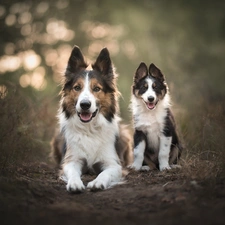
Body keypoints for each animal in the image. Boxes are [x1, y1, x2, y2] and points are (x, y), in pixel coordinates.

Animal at [51, 46, 132, 193]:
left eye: (97, 88)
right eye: (77, 87)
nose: (85, 104)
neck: (90, 129)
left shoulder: (113, 164)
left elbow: (105, 173)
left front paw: (97, 182)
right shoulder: (72, 160)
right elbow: (73, 172)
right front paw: (75, 183)